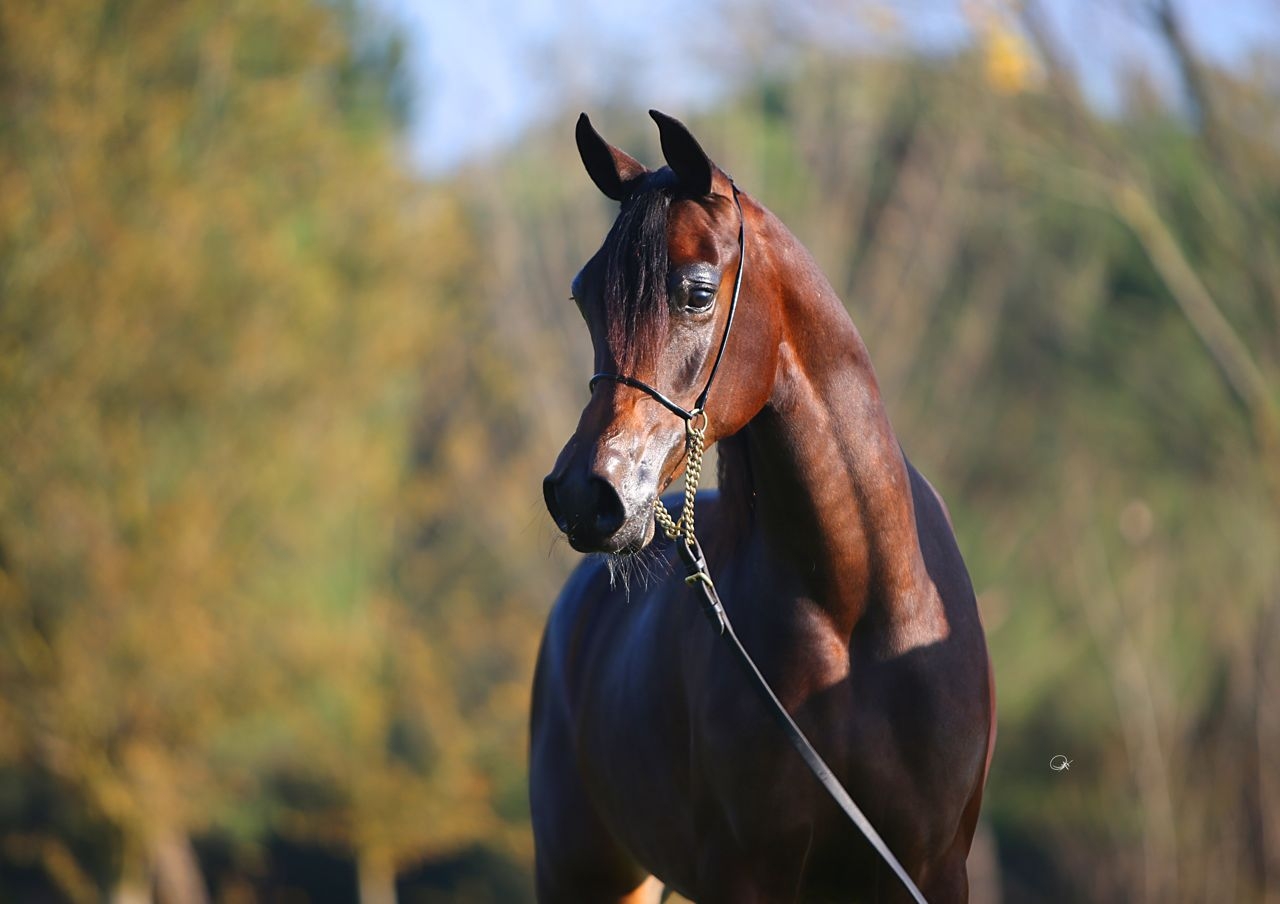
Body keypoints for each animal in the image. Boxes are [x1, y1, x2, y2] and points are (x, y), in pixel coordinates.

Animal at [532, 110, 996, 903]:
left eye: (695, 292)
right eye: (583, 294)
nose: (583, 496)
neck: (856, 608)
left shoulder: (933, 868)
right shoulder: (746, 871)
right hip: (581, 873)